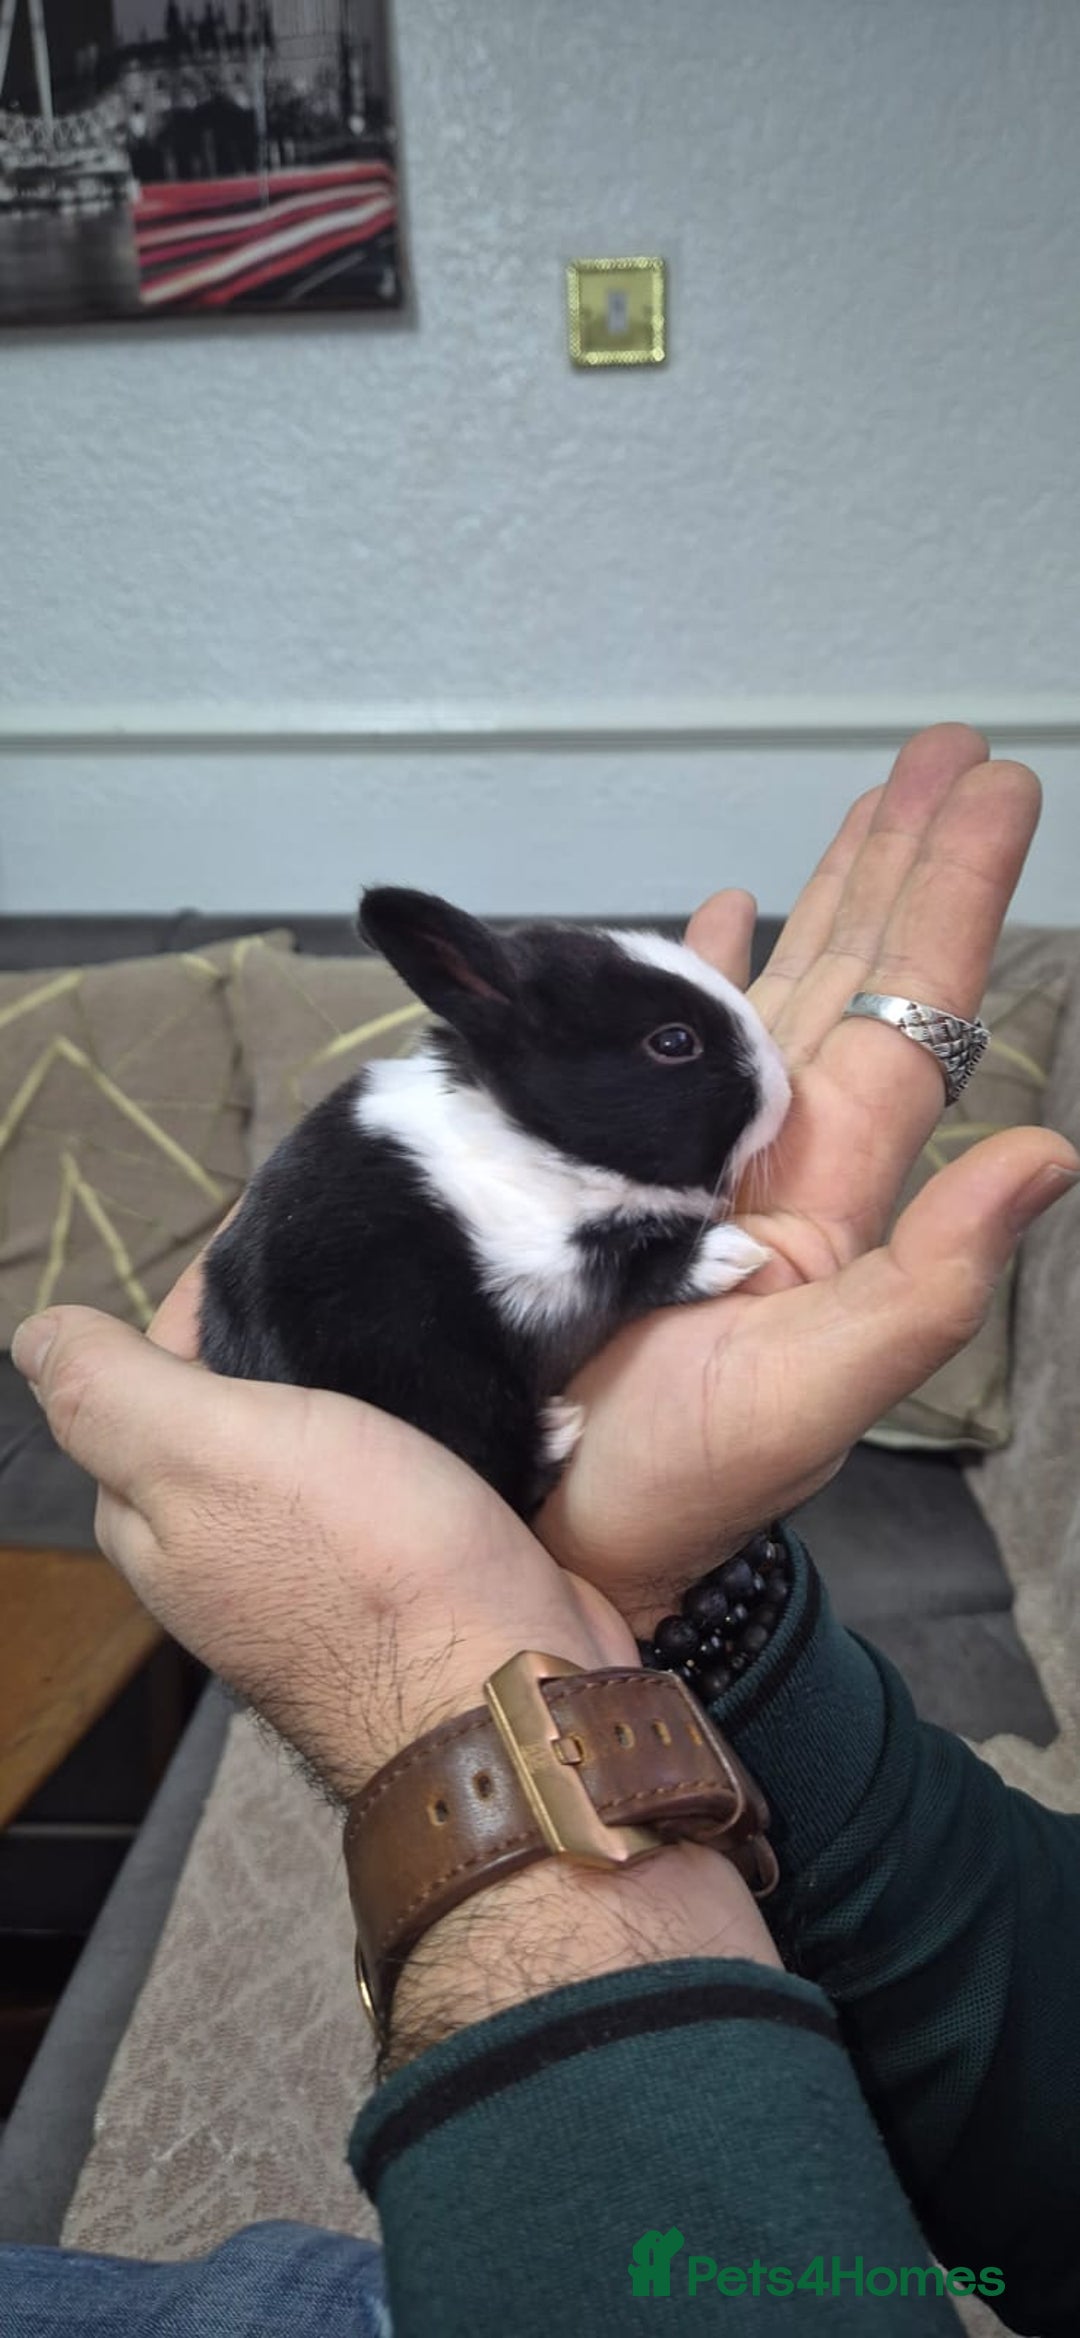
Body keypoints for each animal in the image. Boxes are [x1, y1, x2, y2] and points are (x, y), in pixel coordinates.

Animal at [199, 888, 791, 1518]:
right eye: (674, 1042)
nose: (784, 1089)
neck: (532, 1136)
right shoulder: (545, 1269)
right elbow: (635, 1268)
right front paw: (732, 1254)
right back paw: (556, 1431)